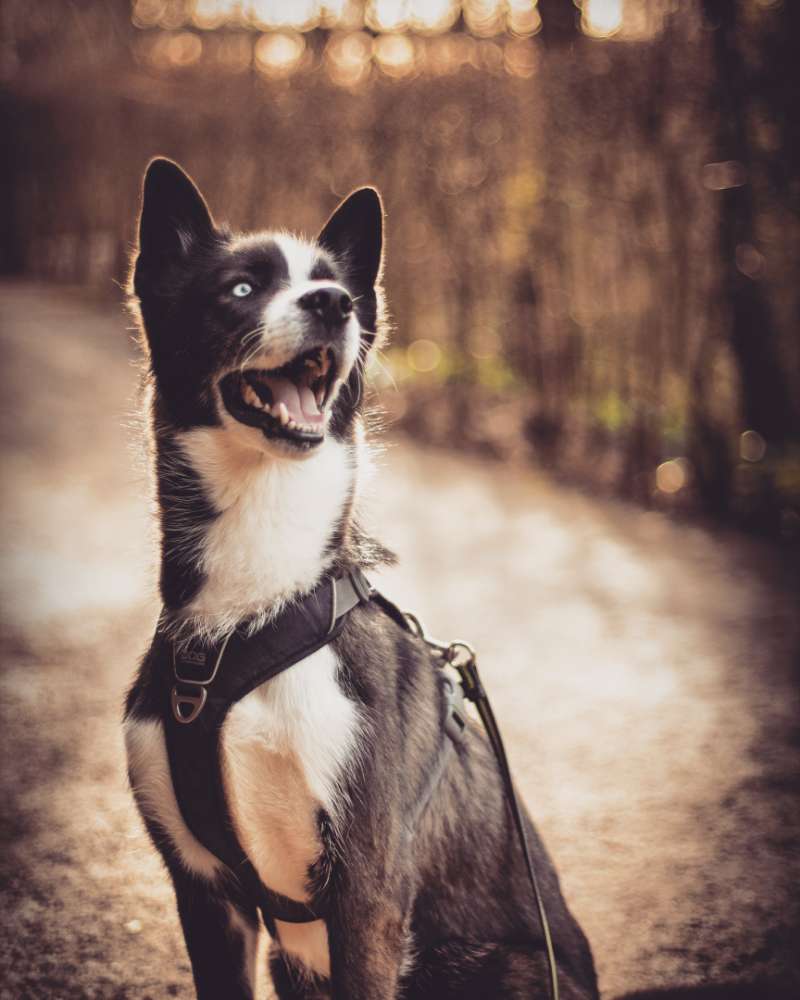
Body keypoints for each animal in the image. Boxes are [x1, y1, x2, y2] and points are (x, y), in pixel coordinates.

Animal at [123, 158, 600, 1000]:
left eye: (333, 284)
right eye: (241, 288)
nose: (332, 304)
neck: (254, 615)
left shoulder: (366, 893)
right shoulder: (205, 892)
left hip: (504, 968)